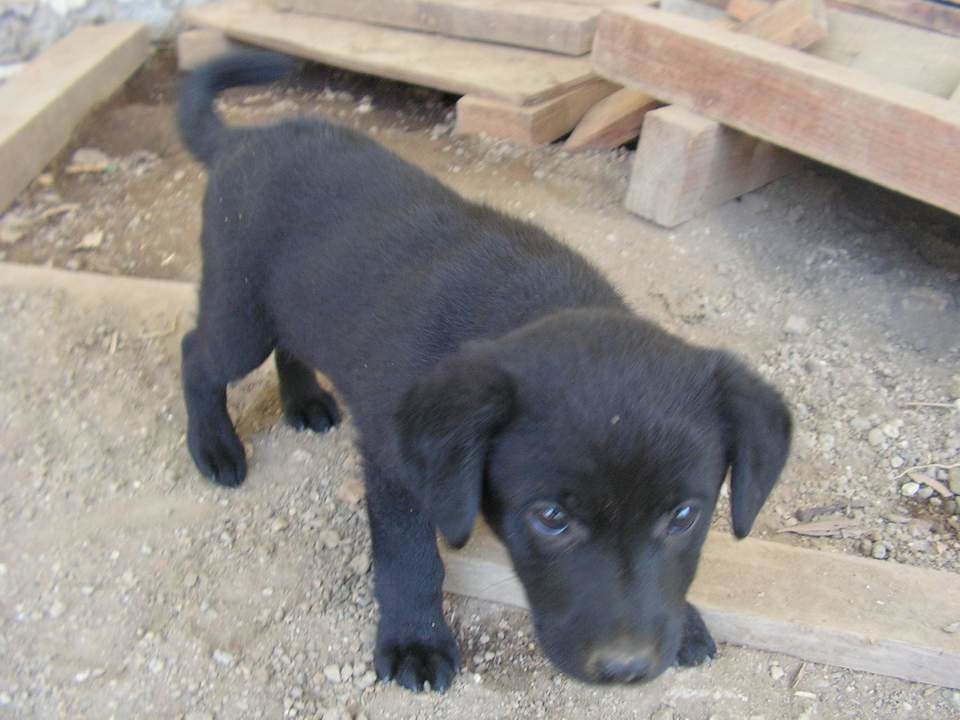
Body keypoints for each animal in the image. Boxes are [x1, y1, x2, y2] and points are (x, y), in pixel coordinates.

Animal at [176, 53, 792, 696]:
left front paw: (687, 619)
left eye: (684, 517)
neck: (532, 308)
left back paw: (305, 403)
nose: (626, 667)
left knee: (292, 343)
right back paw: (213, 446)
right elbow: (410, 560)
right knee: (197, 354)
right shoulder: (396, 467)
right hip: (240, 315)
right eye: (551, 519)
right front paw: (415, 642)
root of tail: (241, 139)